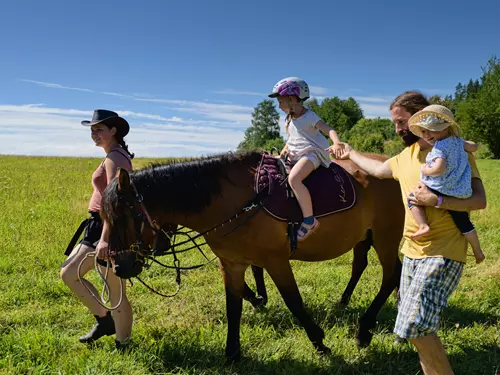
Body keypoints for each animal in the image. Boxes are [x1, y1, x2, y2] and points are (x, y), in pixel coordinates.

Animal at [100, 152, 402, 362]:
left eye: (121, 217)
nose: (116, 265)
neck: (235, 203)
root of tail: (390, 164)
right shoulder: (232, 264)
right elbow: (233, 307)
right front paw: (233, 352)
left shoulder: (276, 261)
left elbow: (294, 302)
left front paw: (319, 342)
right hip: (369, 236)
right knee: (374, 268)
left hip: (386, 236)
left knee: (391, 275)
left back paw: (364, 329)